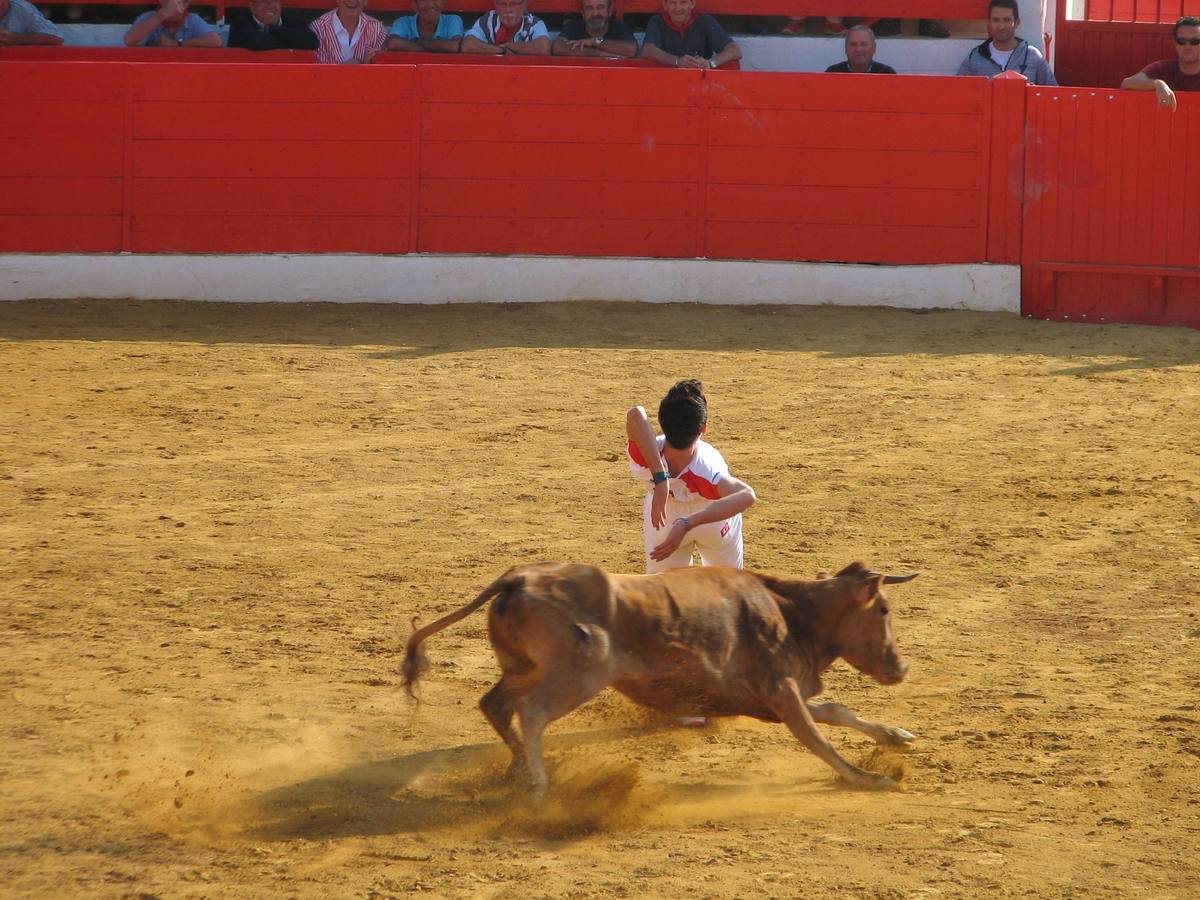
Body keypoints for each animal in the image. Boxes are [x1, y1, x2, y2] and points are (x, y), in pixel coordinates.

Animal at [403, 561, 916, 801]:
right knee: (532, 711)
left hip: (522, 667)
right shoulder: (782, 691)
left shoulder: (772, 698)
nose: (901, 668)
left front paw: (896, 737)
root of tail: (518, 578)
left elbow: (837, 712)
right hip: (577, 675)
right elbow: (817, 737)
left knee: (495, 704)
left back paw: (516, 770)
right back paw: (540, 786)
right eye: (884, 609)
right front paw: (868, 777)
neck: (790, 610)